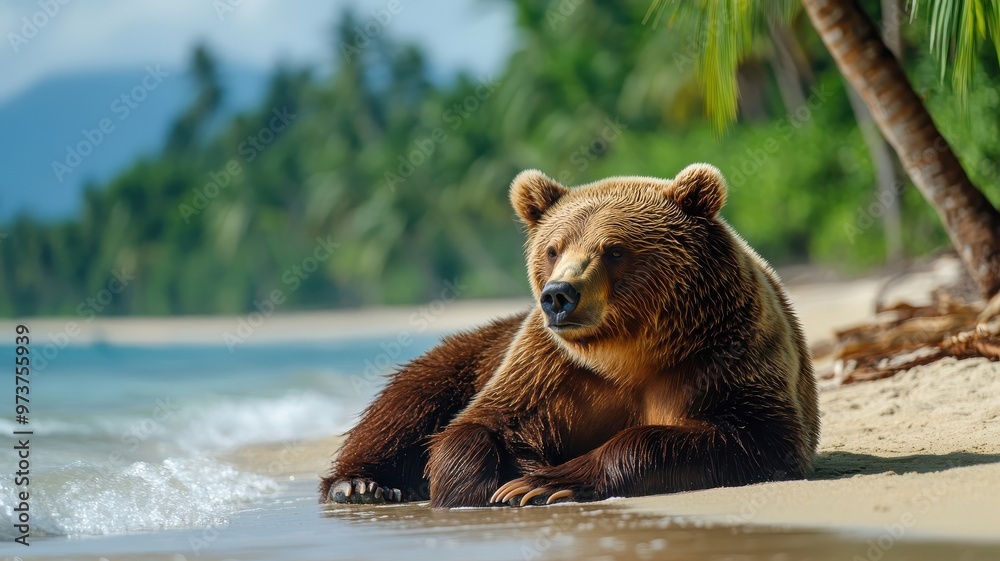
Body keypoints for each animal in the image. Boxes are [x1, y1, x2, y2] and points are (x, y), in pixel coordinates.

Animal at [320, 164, 819, 508]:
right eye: (553, 248)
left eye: (614, 249)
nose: (559, 295)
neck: (627, 353)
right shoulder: (549, 369)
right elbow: (480, 424)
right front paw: (485, 488)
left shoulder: (724, 359)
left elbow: (748, 436)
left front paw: (542, 483)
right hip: (473, 352)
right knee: (408, 401)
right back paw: (359, 484)